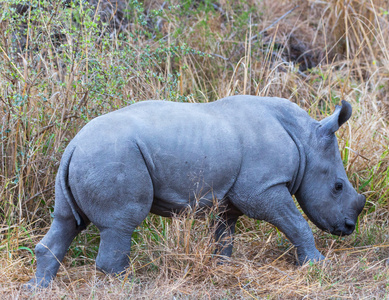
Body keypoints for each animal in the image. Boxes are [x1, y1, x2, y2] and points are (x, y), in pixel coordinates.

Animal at [26, 96, 364, 288]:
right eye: (337, 187)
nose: (348, 228)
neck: (305, 140)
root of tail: (72, 145)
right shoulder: (262, 189)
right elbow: (295, 223)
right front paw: (317, 264)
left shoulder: (231, 195)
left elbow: (225, 232)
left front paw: (222, 268)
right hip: (112, 156)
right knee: (121, 222)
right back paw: (130, 286)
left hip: (87, 159)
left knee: (67, 221)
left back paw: (37, 288)